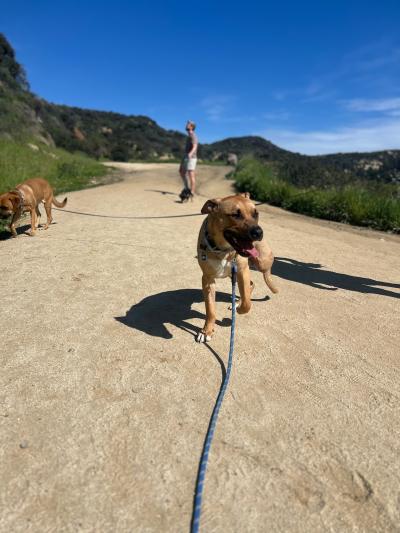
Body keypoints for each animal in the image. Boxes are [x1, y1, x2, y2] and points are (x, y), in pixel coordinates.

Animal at [197, 193, 278, 342]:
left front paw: (239, 309)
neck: (223, 249)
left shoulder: (242, 271)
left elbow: (247, 303)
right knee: (251, 284)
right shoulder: (207, 279)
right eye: (236, 215)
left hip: (259, 262)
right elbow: (210, 309)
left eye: (256, 214)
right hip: (232, 274)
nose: (259, 232)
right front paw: (206, 331)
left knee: (260, 278)